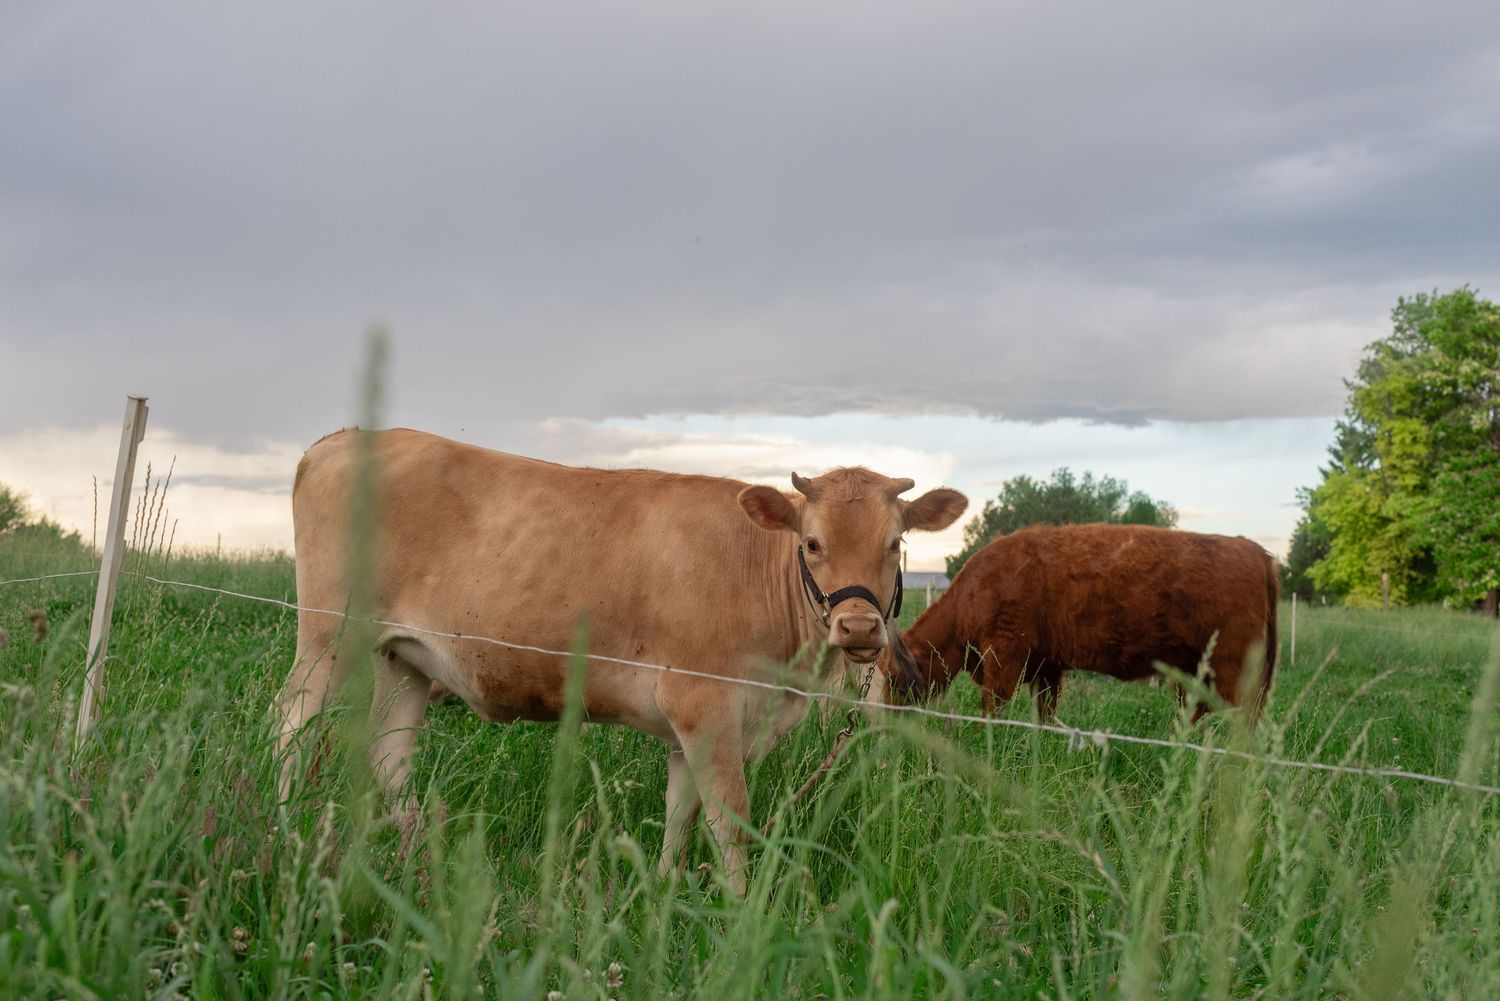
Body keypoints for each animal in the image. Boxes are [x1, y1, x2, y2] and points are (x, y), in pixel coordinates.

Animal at [275, 428, 967, 893]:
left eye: (895, 542)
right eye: (813, 543)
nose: (859, 626)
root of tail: (342, 438)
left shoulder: (692, 719)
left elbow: (681, 810)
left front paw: (661, 889)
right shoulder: (705, 703)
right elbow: (729, 819)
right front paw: (743, 912)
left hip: (406, 658)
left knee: (390, 755)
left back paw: (418, 858)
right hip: (329, 636)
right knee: (290, 726)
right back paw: (288, 833)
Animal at [885, 523, 1278, 722]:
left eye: (891, 677)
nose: (883, 720)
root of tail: (1255, 552)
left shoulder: (1004, 660)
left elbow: (993, 710)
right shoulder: (1046, 669)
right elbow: (1044, 715)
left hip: (1233, 673)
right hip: (1196, 673)